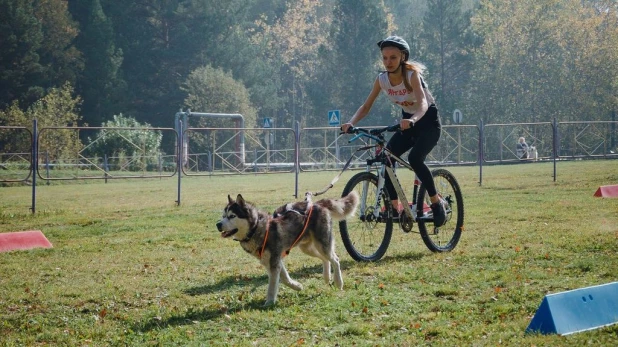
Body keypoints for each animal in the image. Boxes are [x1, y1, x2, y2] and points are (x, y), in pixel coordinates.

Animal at [217, 192, 358, 306]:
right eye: (223, 215)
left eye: (232, 216)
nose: (218, 224)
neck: (257, 228)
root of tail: (316, 204)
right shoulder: (272, 261)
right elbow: (284, 279)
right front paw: (297, 286)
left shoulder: (274, 261)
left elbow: (272, 286)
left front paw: (269, 302)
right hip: (307, 248)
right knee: (325, 259)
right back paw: (327, 277)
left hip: (322, 244)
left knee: (335, 259)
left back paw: (338, 282)